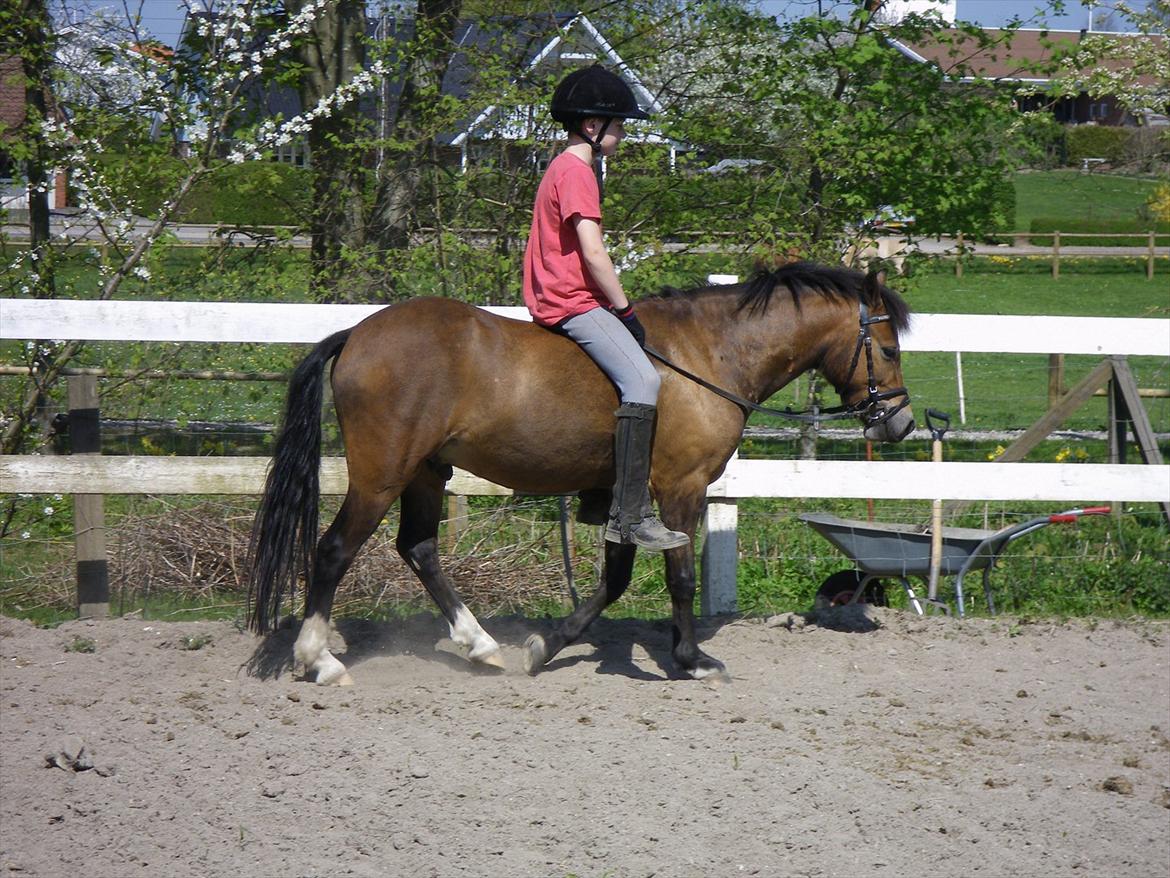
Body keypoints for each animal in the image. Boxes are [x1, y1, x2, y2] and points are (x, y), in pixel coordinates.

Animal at [251, 261, 917, 688]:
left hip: (425, 474)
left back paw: (481, 646)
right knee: (335, 550)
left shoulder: (627, 497)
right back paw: (319, 660)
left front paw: (548, 645)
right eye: (887, 349)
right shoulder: (681, 488)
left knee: (418, 548)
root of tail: (356, 332)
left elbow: (616, 577)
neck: (709, 354)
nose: (901, 423)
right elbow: (679, 578)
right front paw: (692, 658)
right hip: (382, 476)